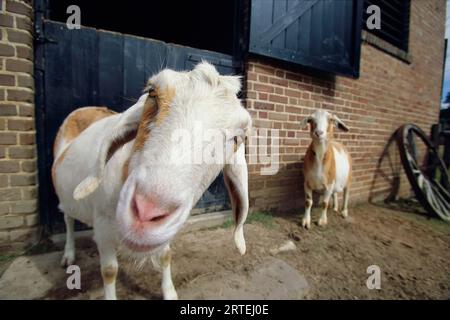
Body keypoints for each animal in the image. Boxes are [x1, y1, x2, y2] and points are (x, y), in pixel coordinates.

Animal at [51, 62, 253, 300]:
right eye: (152, 93)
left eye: (239, 137)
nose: (146, 212)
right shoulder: (102, 225)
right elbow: (109, 270)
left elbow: (165, 256)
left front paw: (170, 293)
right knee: (67, 218)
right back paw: (68, 255)